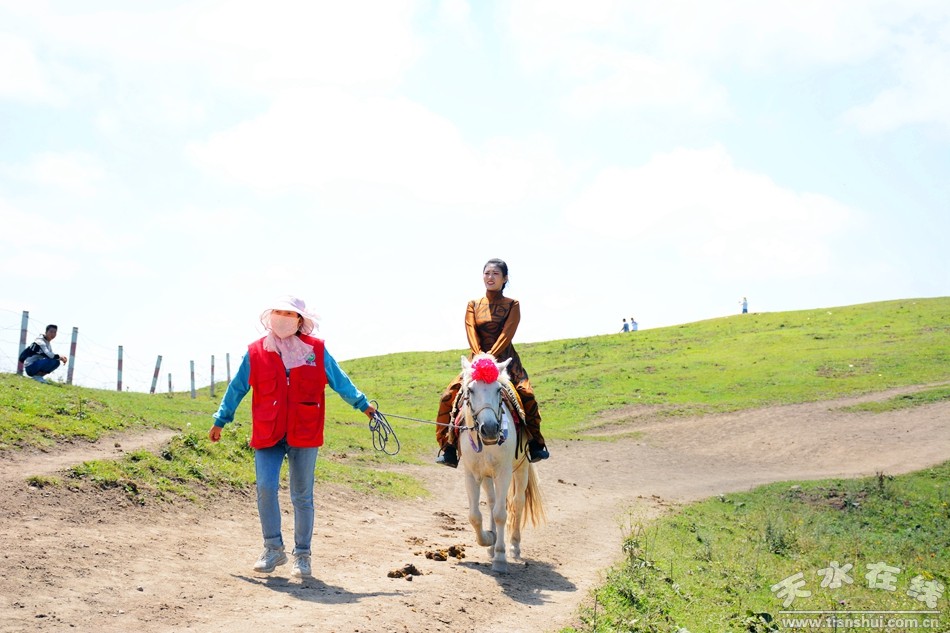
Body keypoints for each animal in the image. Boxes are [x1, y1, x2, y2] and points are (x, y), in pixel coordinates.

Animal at [455, 353, 545, 573]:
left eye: (497, 390)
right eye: (471, 390)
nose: (489, 429)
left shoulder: (504, 473)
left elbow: (501, 514)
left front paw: (500, 557)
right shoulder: (472, 475)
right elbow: (475, 516)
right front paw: (489, 539)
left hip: (521, 470)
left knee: (517, 502)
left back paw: (514, 546)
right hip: (488, 476)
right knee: (493, 502)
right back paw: (492, 544)